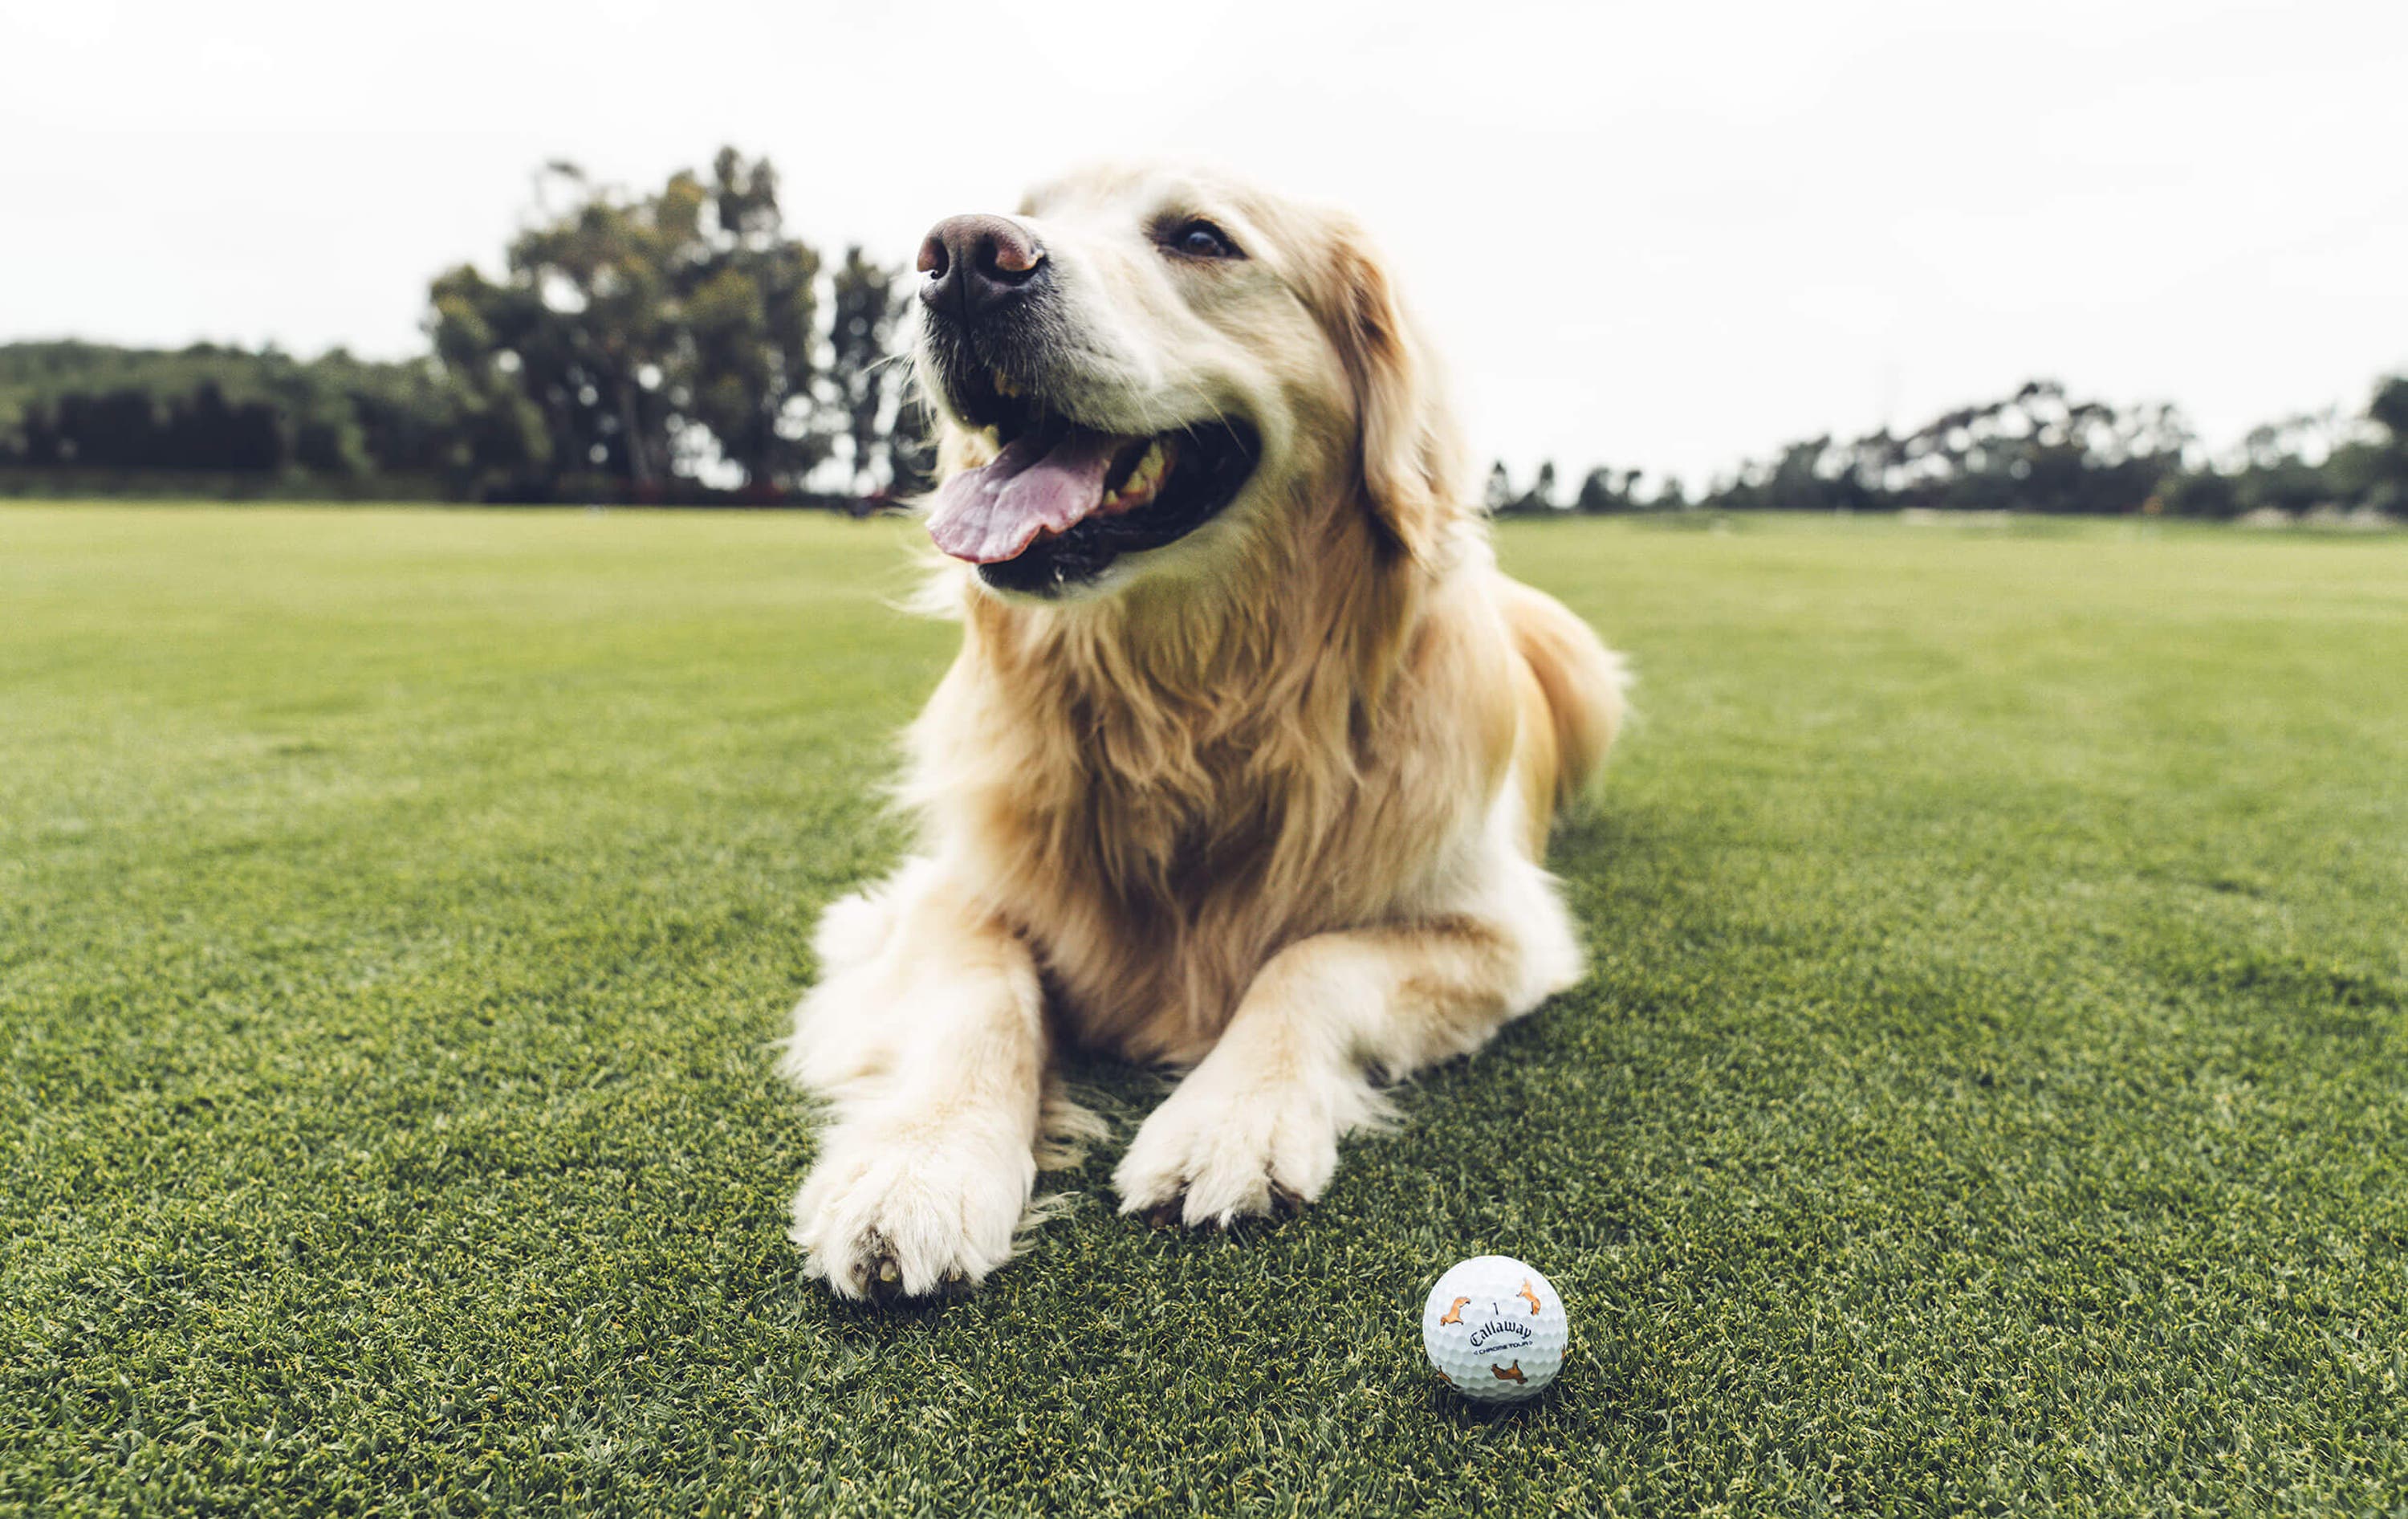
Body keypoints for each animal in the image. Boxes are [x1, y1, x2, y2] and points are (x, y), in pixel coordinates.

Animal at [780, 169, 1628, 1309]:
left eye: (1199, 237)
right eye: (1027, 206)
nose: (958, 257)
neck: (1189, 703)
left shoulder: (1501, 931)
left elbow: (1309, 961)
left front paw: (1231, 1118)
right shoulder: (930, 893)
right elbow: (982, 987)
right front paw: (918, 1163)